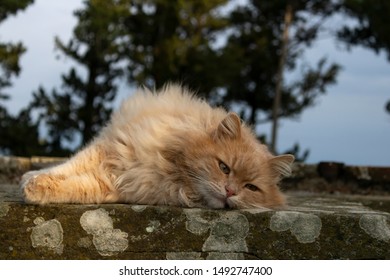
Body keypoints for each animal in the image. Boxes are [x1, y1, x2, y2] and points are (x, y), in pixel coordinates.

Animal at [19, 84, 294, 209]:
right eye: (224, 167)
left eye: (251, 188)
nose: (230, 192)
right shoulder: (111, 149)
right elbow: (66, 168)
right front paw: (32, 182)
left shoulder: (115, 185)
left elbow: (75, 187)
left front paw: (37, 190)